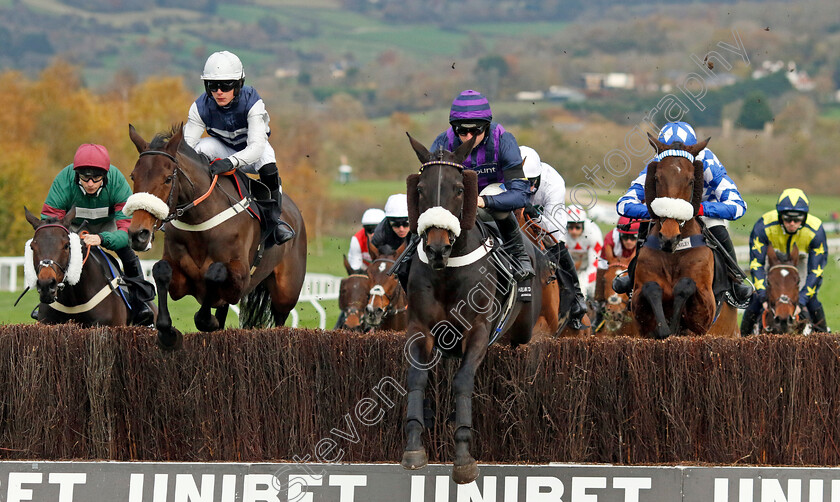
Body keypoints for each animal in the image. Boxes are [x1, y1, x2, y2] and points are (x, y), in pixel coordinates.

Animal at [123, 124, 306, 350]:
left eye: (167, 179)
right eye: (133, 176)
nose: (138, 234)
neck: (200, 222)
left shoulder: (241, 278)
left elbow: (214, 273)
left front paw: (207, 320)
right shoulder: (180, 279)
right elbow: (161, 270)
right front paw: (168, 333)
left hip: (286, 291)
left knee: (280, 317)